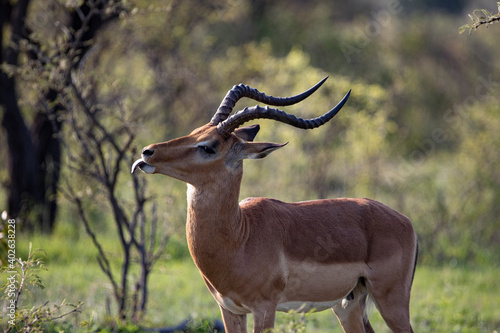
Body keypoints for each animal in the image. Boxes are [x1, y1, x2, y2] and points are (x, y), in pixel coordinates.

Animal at [132, 76, 418, 330]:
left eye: (208, 146)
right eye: (195, 132)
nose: (147, 152)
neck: (239, 236)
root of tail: (406, 222)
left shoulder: (264, 308)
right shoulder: (230, 310)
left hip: (391, 301)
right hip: (348, 306)